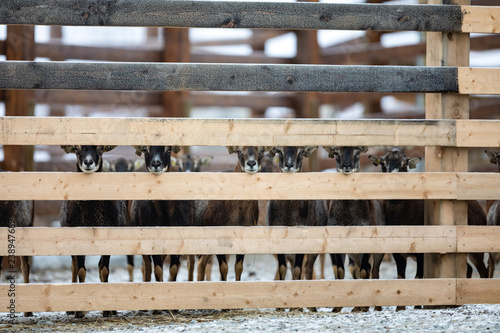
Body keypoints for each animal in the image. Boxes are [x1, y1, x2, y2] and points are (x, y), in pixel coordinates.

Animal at [60, 145, 127, 316]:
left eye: (100, 148)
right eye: (77, 149)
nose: (88, 162)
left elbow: (104, 271)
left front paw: (107, 311)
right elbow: (81, 271)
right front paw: (80, 312)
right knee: (73, 266)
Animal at [195, 145, 268, 280]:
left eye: (261, 150)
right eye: (238, 151)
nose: (251, 163)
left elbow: (238, 267)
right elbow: (223, 268)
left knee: (202, 262)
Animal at [266, 146, 328, 282]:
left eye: (301, 152)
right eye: (279, 150)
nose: (289, 165)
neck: (289, 217)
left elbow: (298, 270)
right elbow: (283, 269)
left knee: (308, 267)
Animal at [322, 145, 384, 312]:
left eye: (357, 152)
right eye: (336, 153)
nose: (347, 165)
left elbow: (364, 271)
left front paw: (362, 307)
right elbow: (340, 271)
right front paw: (336, 308)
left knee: (373, 271)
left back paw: (376, 307)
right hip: (354, 253)